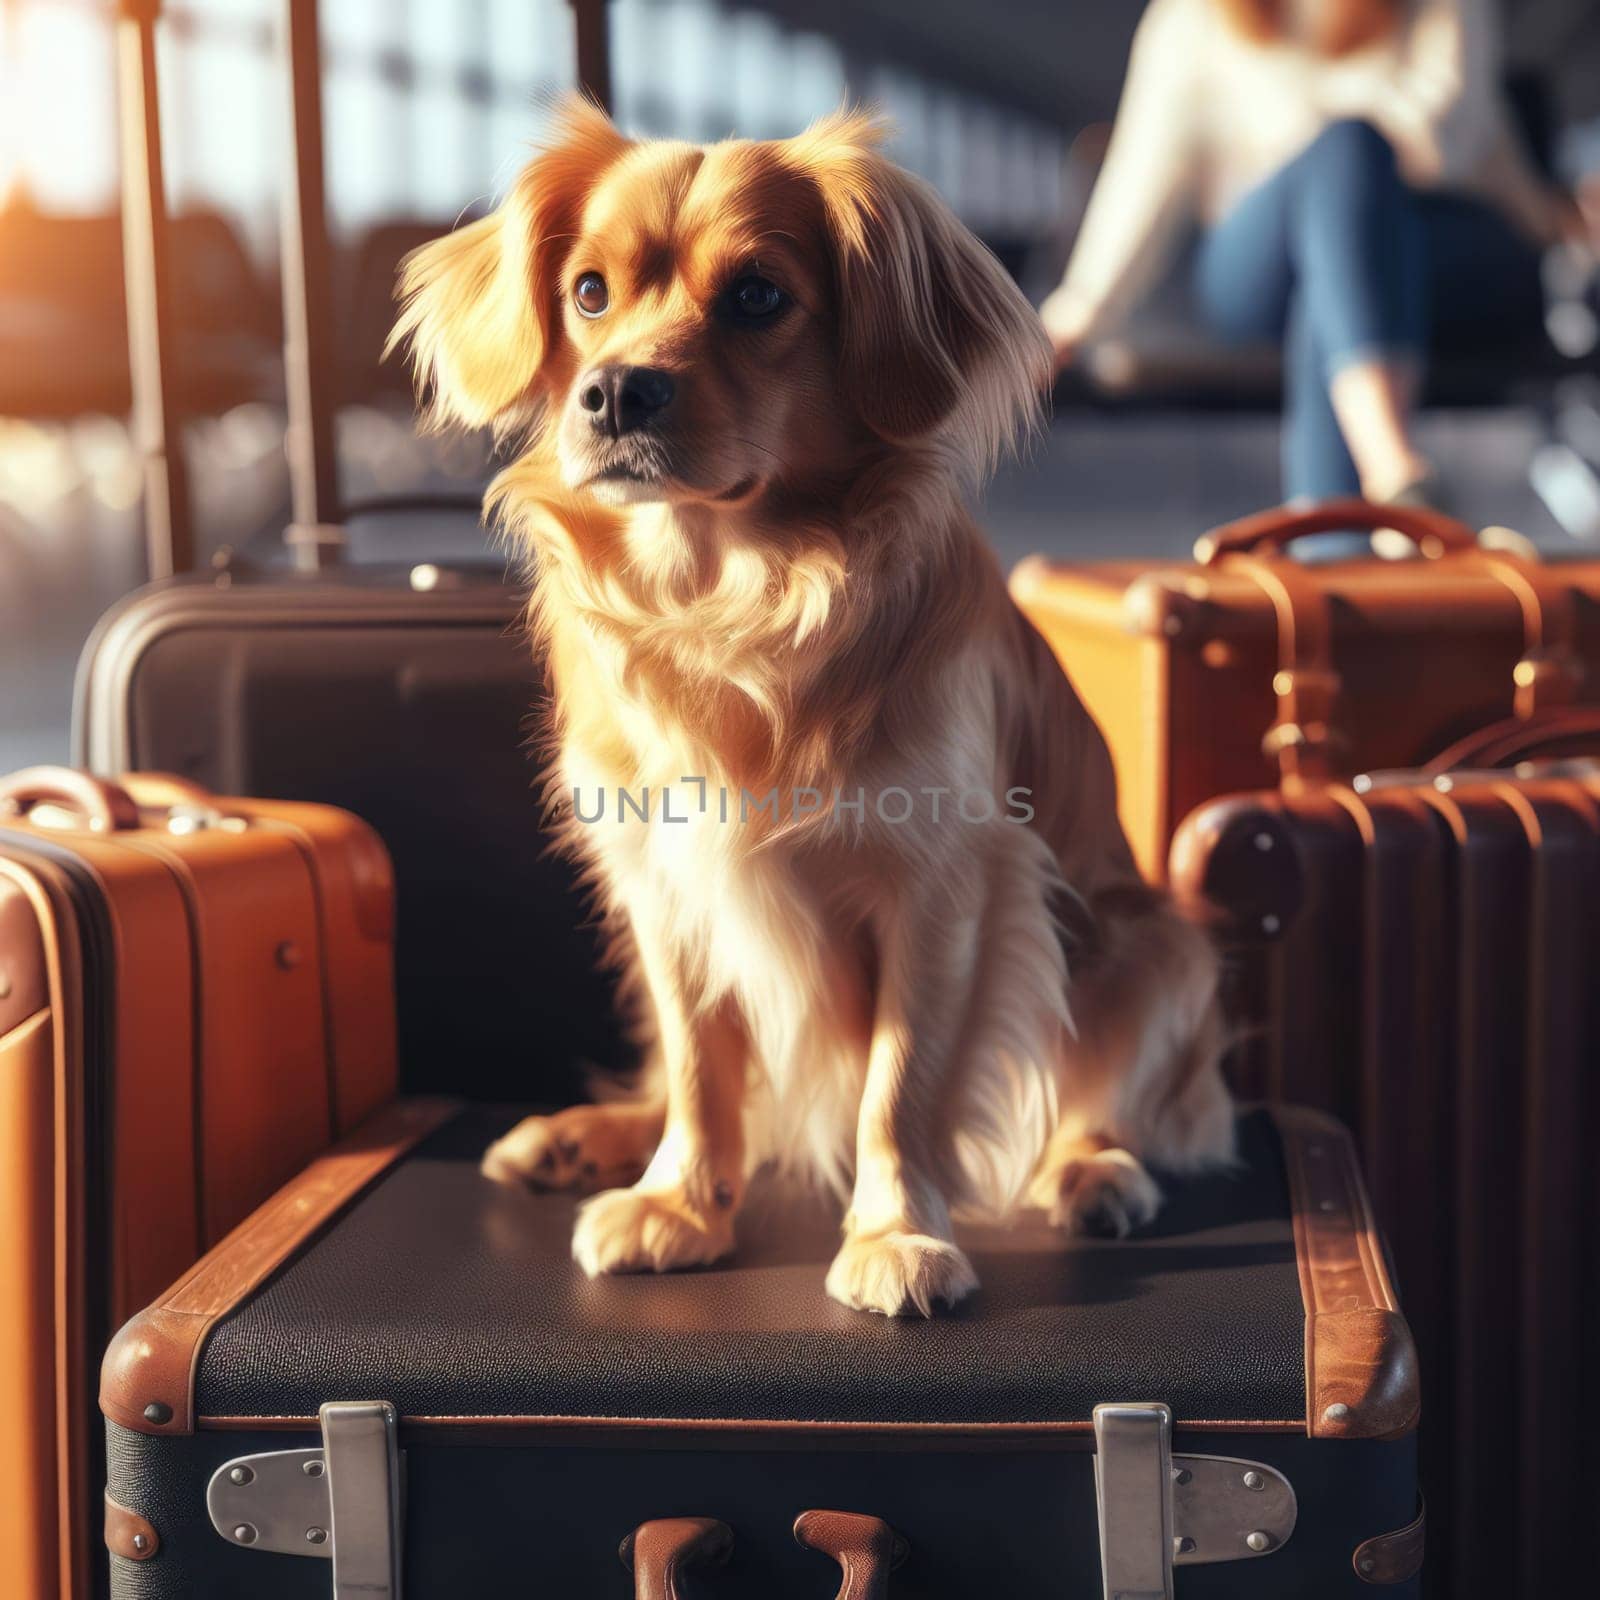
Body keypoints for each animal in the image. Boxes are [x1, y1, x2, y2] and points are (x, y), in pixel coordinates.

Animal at [390, 96, 1235, 1312]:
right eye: (588, 293)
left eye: (757, 296)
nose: (613, 389)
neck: (728, 597)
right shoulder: (664, 884)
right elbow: (701, 1068)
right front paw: (682, 1202)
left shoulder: (944, 887)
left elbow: (901, 1080)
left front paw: (897, 1232)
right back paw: (589, 1136)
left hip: (1156, 944)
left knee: (1096, 1095)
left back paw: (1091, 1170)